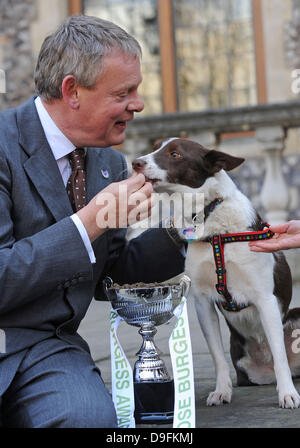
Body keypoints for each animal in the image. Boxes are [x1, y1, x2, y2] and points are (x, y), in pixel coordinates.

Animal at [132, 137, 300, 410]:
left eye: (175, 154)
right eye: (156, 147)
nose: (135, 163)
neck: (208, 217)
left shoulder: (265, 299)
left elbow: (279, 354)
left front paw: (287, 394)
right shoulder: (202, 302)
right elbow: (217, 357)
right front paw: (221, 391)